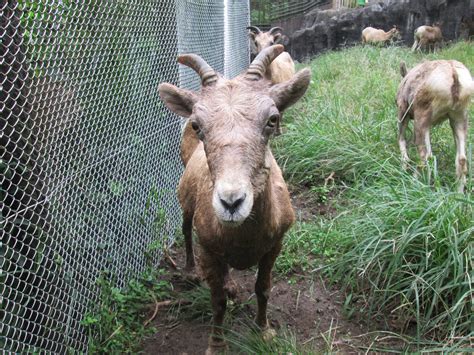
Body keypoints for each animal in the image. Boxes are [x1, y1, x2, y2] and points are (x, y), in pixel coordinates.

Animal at [396, 60, 474, 192]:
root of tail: (454, 75)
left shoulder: (403, 110)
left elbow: (401, 139)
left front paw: (403, 167)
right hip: (459, 117)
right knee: (461, 159)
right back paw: (458, 192)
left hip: (421, 117)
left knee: (424, 156)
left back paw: (414, 183)